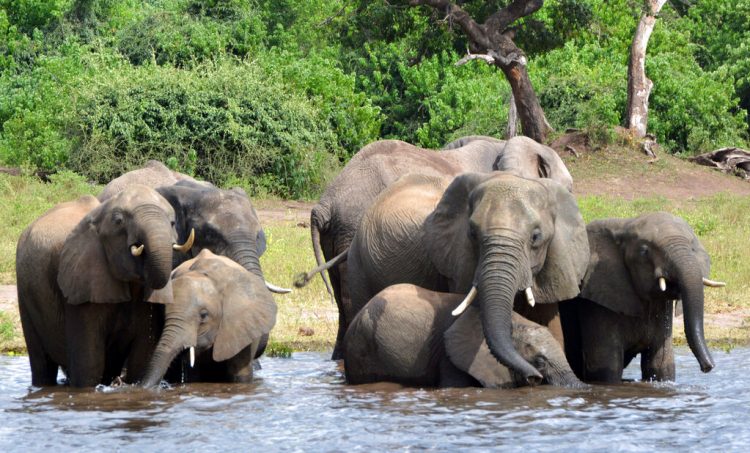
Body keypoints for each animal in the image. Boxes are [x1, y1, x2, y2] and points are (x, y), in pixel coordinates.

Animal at [16, 184, 191, 384]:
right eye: (119, 221)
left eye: (172, 223)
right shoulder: (82, 282)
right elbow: (89, 365)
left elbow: (141, 360)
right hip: (25, 292)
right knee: (42, 365)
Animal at [560, 212, 724, 382]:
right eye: (644, 252)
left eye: (692, 248)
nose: (707, 367)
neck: (624, 225)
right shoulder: (595, 302)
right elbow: (606, 369)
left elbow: (660, 366)